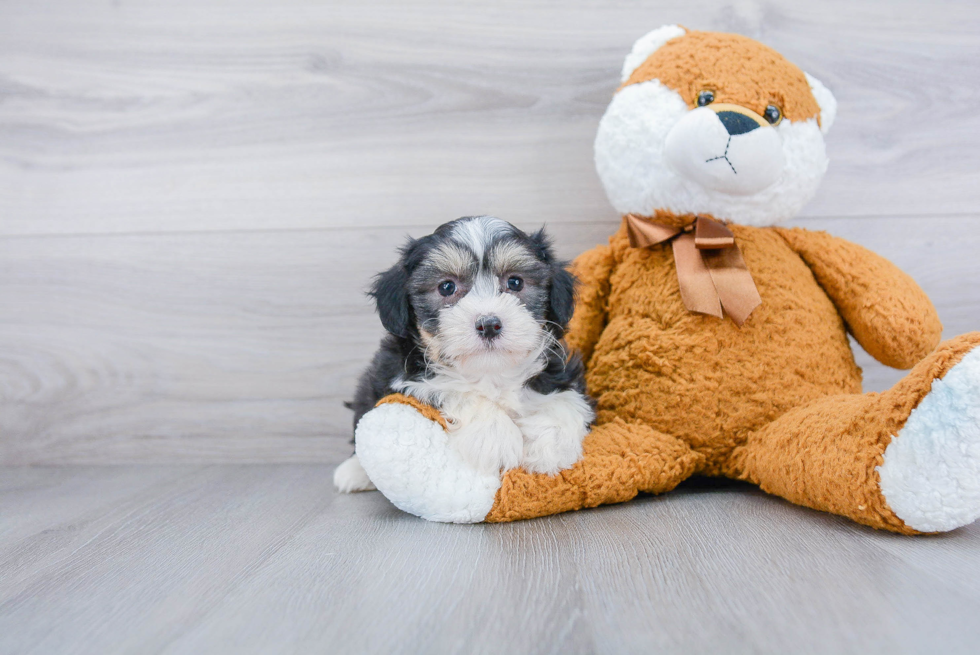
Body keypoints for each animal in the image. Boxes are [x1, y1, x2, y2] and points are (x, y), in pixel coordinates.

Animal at [334, 215, 592, 492]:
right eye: (447, 287)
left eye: (515, 282)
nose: (489, 324)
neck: (490, 373)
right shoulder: (401, 377)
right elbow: (452, 389)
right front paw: (496, 438)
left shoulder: (558, 372)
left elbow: (566, 400)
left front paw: (551, 447)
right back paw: (353, 472)